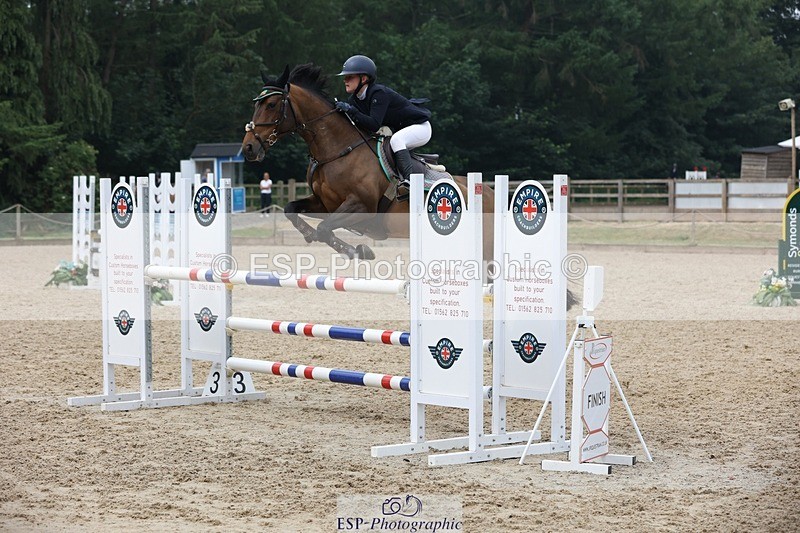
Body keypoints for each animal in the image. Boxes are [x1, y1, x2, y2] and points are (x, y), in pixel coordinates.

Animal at [240, 63, 495, 261]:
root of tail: (489, 192)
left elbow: (324, 229)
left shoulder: (362, 207)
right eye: (256, 104)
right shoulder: (325, 204)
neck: (337, 150)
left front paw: (358, 251)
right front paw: (315, 237)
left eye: (271, 105)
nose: (248, 148)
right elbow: (293, 212)